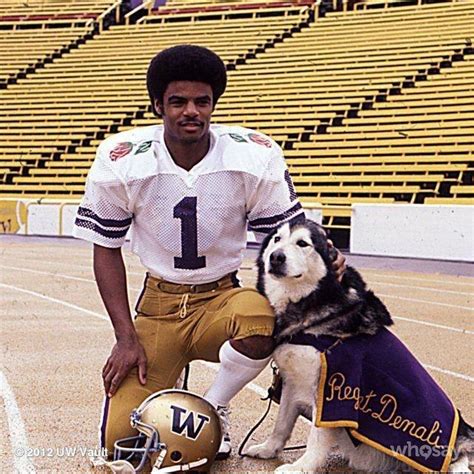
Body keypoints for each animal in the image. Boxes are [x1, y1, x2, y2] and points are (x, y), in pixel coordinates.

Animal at [244, 220, 474, 472]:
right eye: (277, 239)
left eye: (303, 243)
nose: (276, 257)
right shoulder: (293, 383)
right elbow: (282, 423)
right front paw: (268, 449)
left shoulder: (331, 392)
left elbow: (316, 439)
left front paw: (301, 467)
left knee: (458, 459)